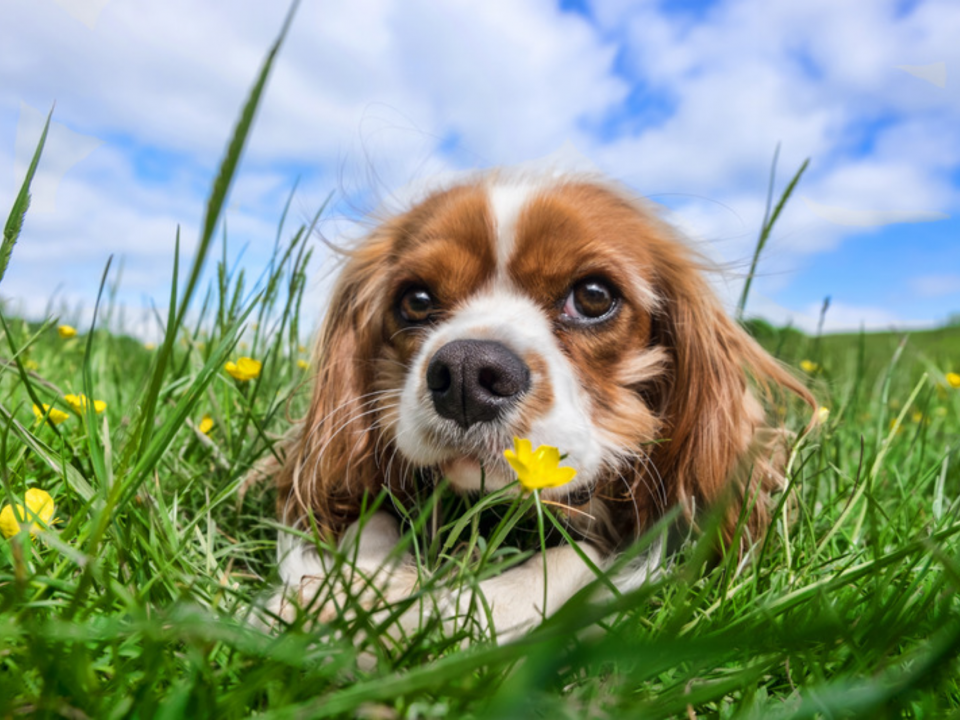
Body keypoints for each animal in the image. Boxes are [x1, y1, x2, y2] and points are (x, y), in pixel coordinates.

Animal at [264, 172, 816, 644]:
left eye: (593, 295)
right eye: (416, 300)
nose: (466, 373)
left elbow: (572, 561)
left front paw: (421, 613)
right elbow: (367, 521)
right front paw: (342, 593)